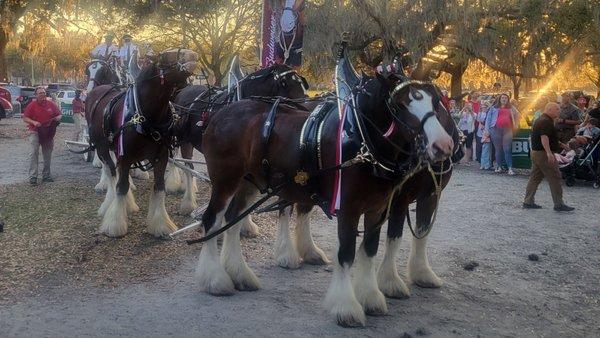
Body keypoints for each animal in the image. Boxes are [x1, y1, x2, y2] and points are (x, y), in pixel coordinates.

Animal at [85, 48, 198, 238]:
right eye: (163, 58)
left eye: (103, 70)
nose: (192, 55)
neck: (146, 116)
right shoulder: (124, 156)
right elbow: (122, 186)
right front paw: (115, 224)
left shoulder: (161, 157)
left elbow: (159, 187)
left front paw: (161, 224)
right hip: (101, 147)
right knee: (111, 172)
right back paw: (110, 204)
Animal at [195, 72, 458, 328]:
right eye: (400, 105)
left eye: (436, 103)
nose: (443, 145)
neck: (361, 139)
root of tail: (221, 113)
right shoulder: (349, 208)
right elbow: (346, 254)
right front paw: (346, 307)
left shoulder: (378, 209)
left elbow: (369, 249)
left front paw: (370, 297)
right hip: (225, 181)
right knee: (212, 221)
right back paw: (215, 279)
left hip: (248, 183)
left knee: (233, 221)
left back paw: (240, 274)